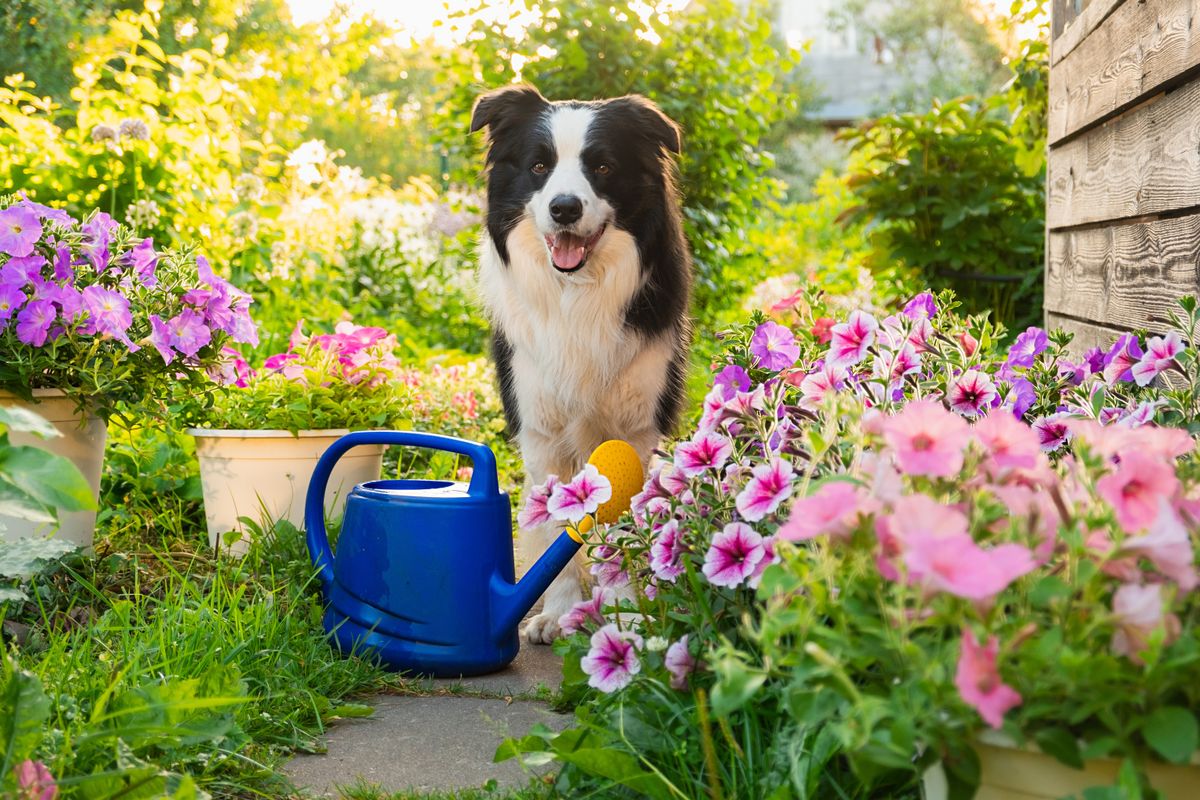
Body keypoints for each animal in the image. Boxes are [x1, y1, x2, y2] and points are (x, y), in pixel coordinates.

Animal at [468, 84, 696, 642]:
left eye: (603, 167)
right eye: (538, 166)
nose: (565, 208)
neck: (577, 292)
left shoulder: (633, 431)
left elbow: (619, 528)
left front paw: (625, 611)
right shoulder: (542, 431)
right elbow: (557, 524)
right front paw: (559, 612)